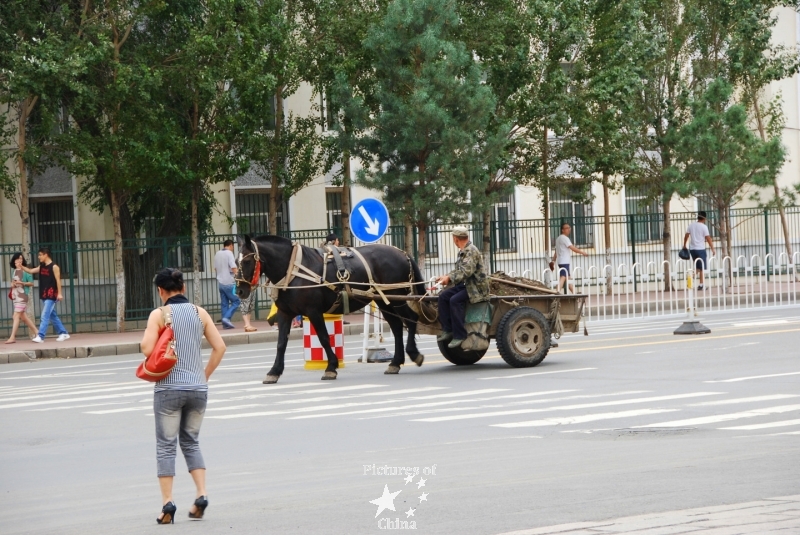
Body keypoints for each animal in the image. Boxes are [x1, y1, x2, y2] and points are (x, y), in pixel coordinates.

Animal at [236, 233, 428, 382]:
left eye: (247, 261)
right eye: (237, 261)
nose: (239, 290)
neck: (292, 269)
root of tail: (402, 252)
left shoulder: (313, 311)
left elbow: (323, 338)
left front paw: (331, 368)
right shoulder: (285, 313)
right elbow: (281, 343)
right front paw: (274, 371)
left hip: (396, 298)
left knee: (411, 319)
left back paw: (413, 353)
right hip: (383, 301)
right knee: (396, 326)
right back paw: (395, 362)